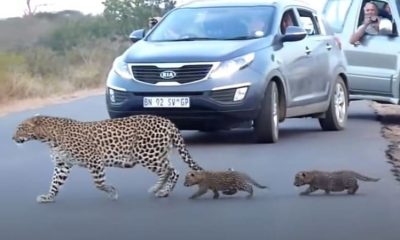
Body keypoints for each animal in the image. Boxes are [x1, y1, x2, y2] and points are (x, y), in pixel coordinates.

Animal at [12, 114, 203, 202]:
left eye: (21, 128)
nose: (12, 138)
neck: (48, 138)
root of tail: (168, 121)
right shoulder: (62, 165)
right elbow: (54, 183)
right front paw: (48, 197)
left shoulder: (94, 161)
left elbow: (99, 183)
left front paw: (112, 191)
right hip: (158, 153)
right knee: (174, 170)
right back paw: (164, 191)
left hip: (146, 154)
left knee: (168, 170)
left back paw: (157, 189)